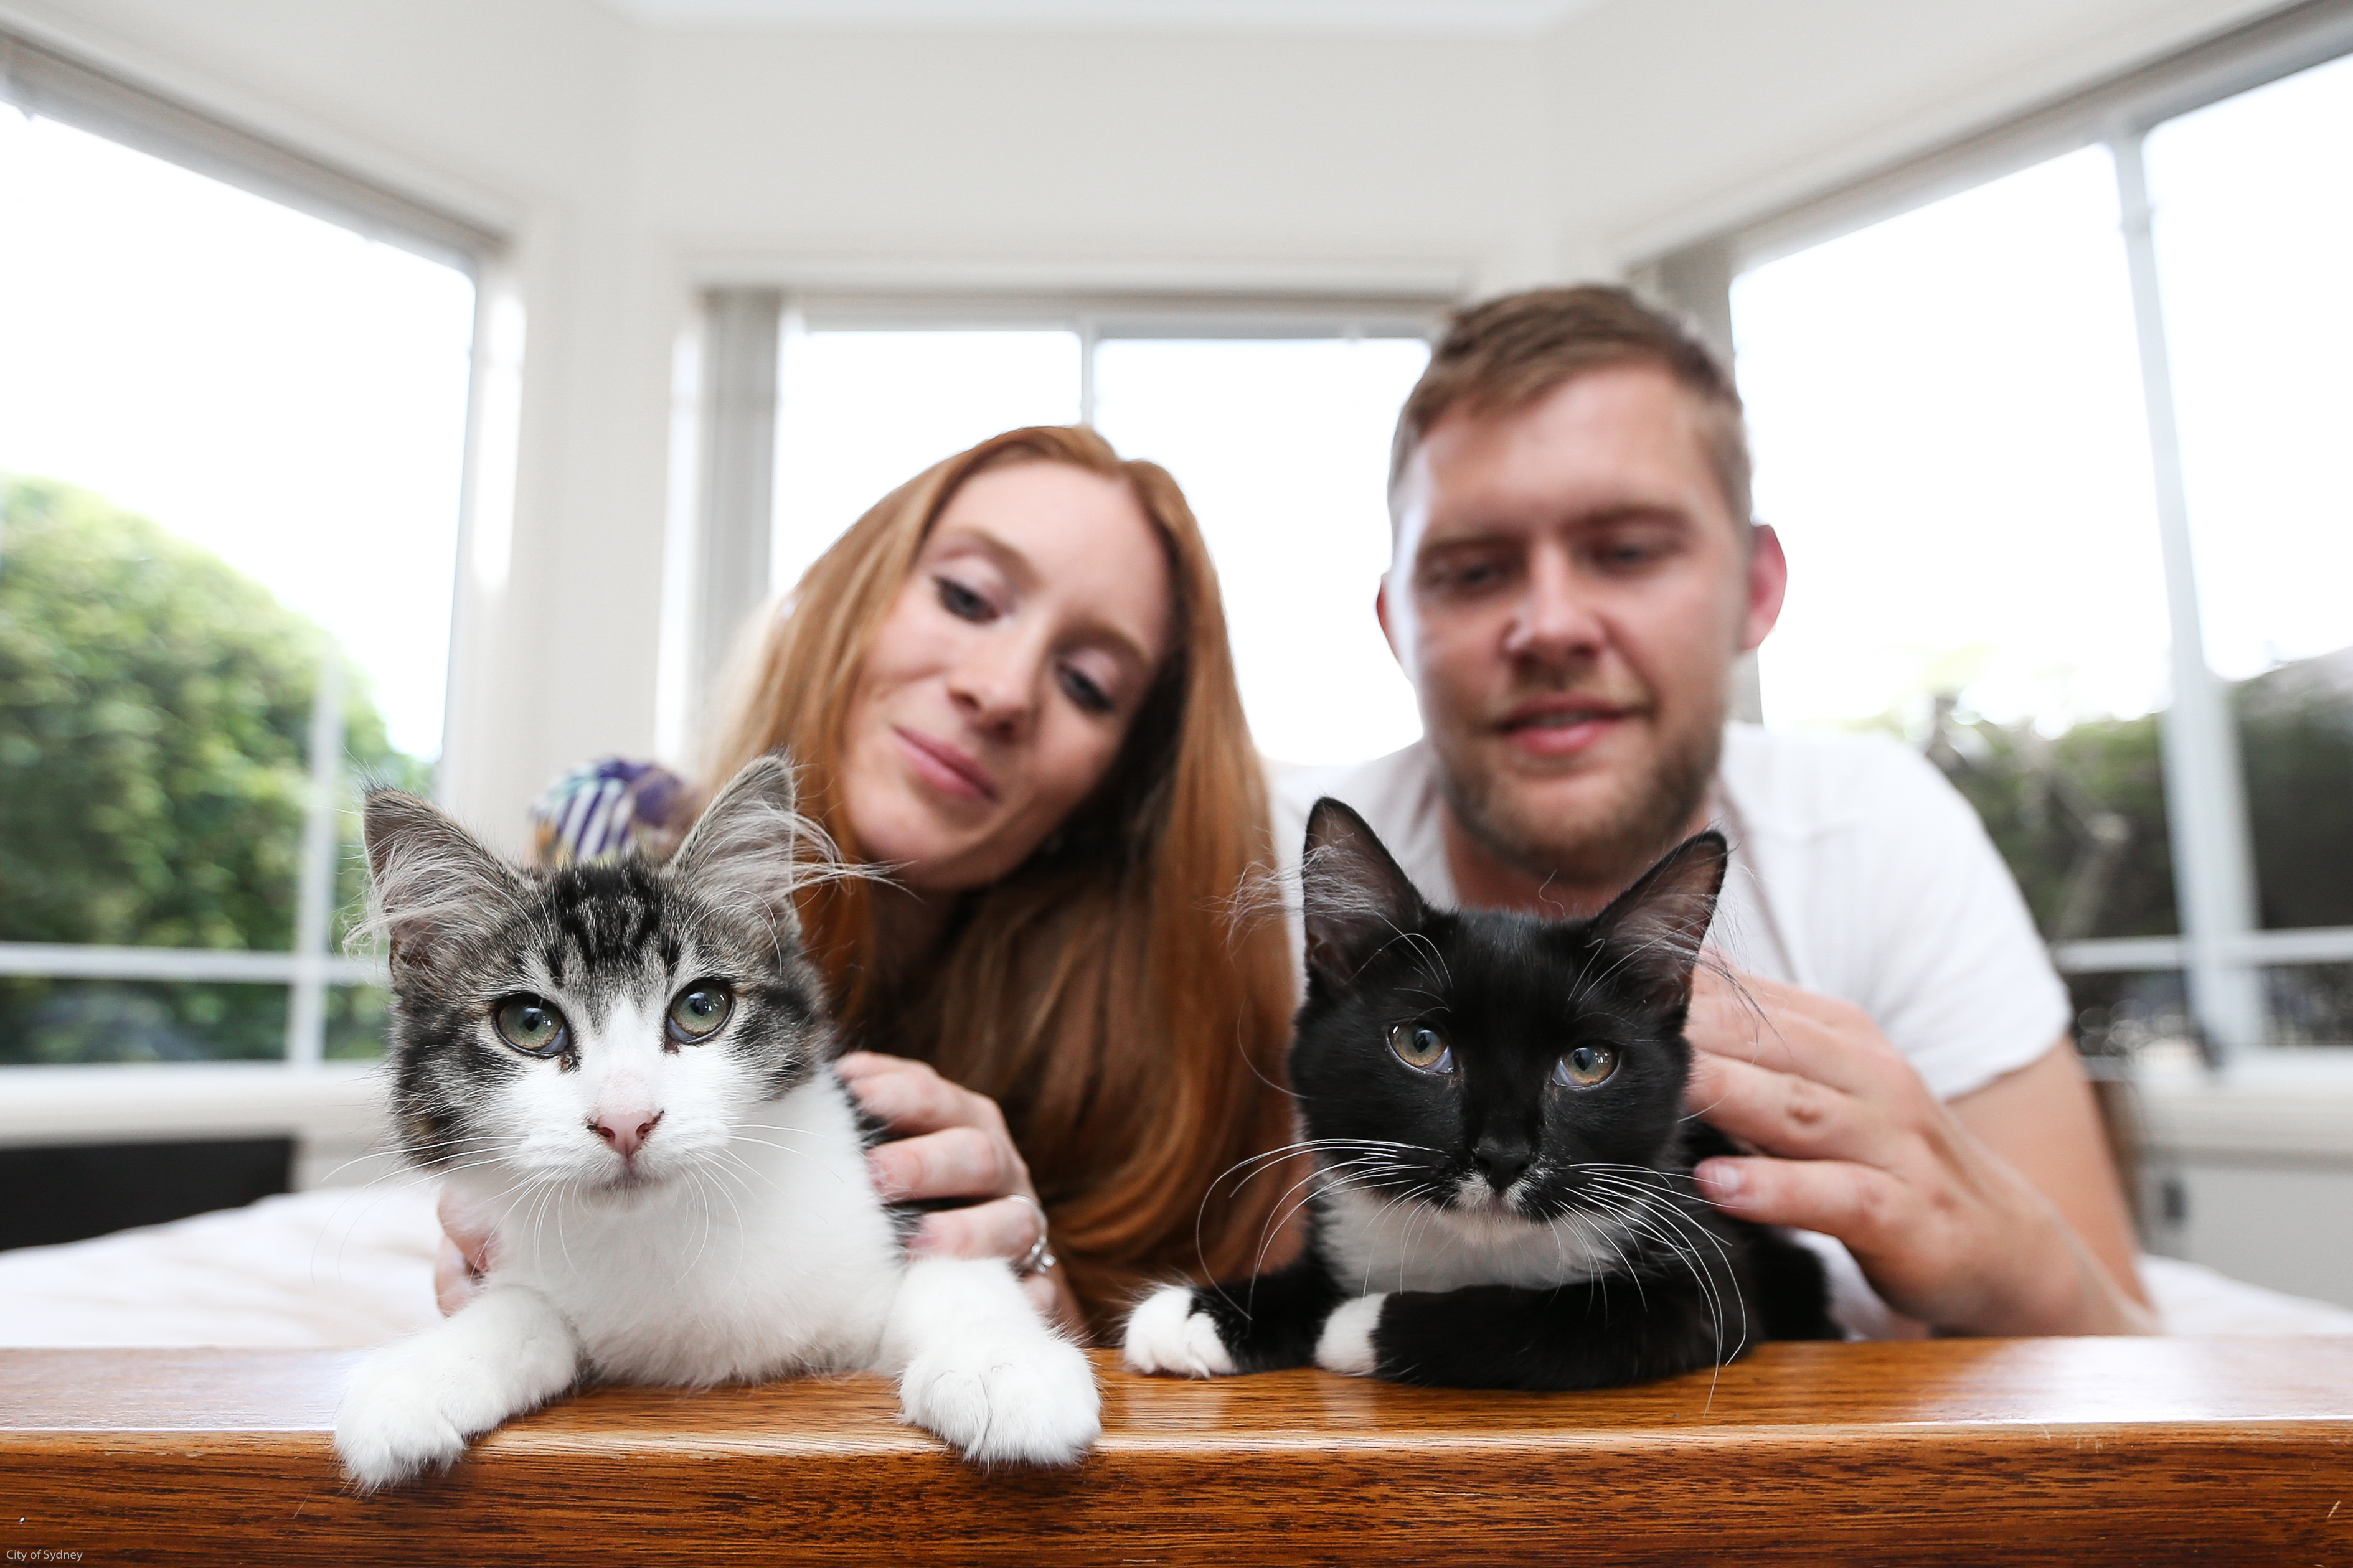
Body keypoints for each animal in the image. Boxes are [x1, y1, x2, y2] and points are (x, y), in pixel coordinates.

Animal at [334, 752, 1101, 1495]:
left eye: (700, 1009)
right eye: (530, 1025)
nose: (626, 1121)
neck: (668, 1233)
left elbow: (956, 1273)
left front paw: (1004, 1367)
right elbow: (521, 1310)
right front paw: (423, 1373)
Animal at [1120, 804, 1835, 1391]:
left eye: (1586, 1062)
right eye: (1420, 1043)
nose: (1502, 1154)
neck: (1468, 1250)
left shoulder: (1705, 1283)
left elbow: (1547, 1325)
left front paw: (1351, 1324)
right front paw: (1204, 1310)